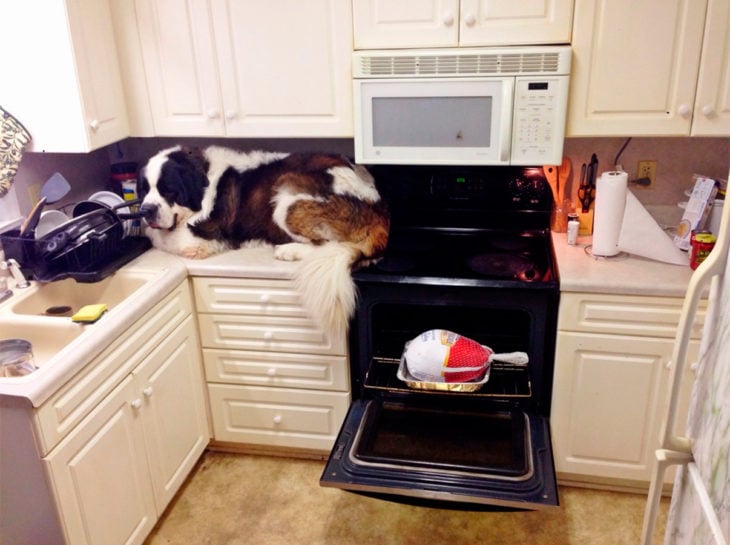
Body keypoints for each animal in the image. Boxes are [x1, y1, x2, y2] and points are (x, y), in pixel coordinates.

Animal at [134, 144, 390, 334]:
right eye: (143, 190)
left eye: (169, 190)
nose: (145, 210)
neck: (205, 179)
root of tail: (377, 206)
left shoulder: (200, 238)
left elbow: (157, 234)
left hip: (286, 194)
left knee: (328, 244)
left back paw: (288, 250)